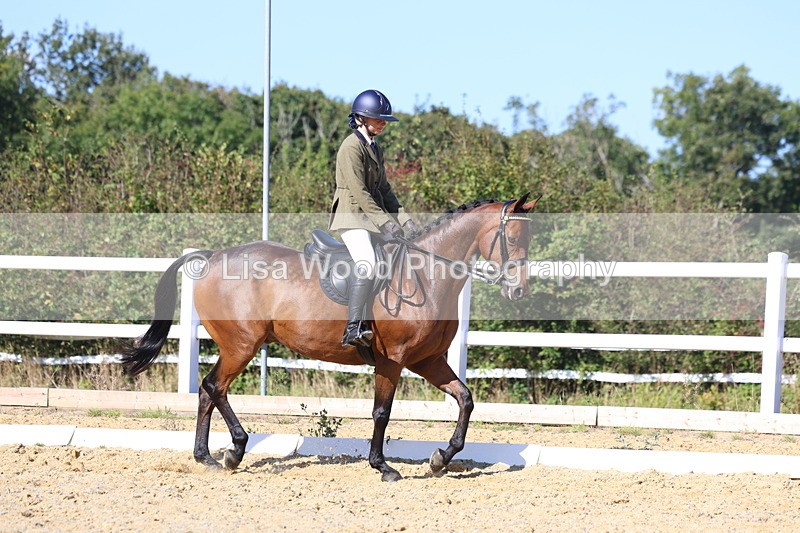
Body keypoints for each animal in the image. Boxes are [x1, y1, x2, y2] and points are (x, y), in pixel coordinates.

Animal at [121, 193, 538, 482]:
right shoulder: (392, 360)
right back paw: (234, 451)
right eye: (513, 238)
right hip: (241, 345)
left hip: (237, 346)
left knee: (209, 391)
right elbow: (382, 413)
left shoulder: (428, 360)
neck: (427, 274)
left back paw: (207, 457)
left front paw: (440, 458)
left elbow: (466, 400)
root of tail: (213, 257)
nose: (519, 291)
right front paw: (383, 467)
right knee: (214, 386)